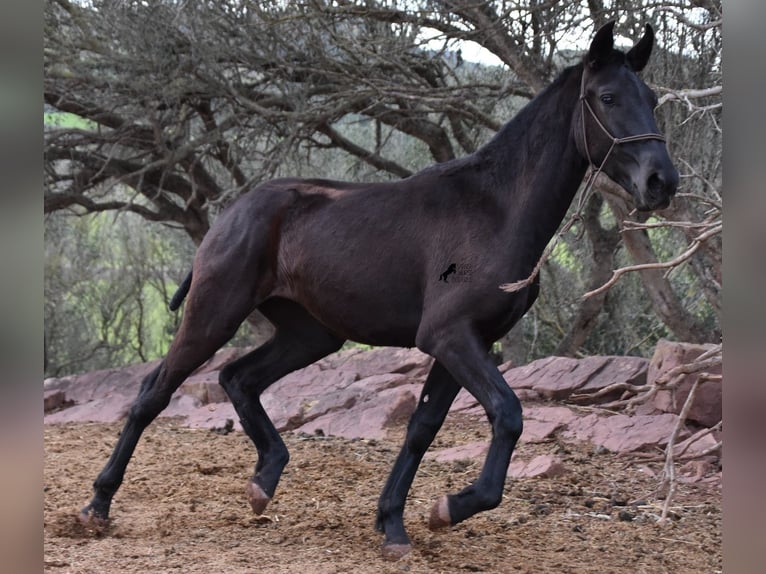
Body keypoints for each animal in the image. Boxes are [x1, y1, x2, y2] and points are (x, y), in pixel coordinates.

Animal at [78, 21, 680, 560]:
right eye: (607, 97)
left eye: (651, 97)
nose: (662, 182)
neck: (495, 210)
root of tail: (234, 211)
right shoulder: (450, 337)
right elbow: (507, 416)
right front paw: (448, 508)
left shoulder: (466, 343)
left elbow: (422, 429)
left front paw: (394, 523)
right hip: (214, 312)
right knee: (155, 391)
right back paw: (96, 507)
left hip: (310, 334)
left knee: (238, 378)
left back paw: (263, 482)